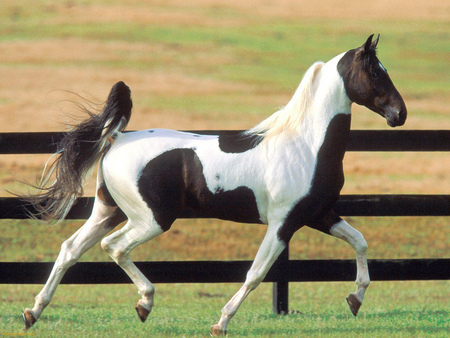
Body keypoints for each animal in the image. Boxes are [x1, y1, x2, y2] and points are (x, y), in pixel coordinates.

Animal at [22, 35, 408, 336]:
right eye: (376, 71)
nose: (399, 114)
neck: (306, 145)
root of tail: (117, 138)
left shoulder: (319, 214)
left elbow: (360, 241)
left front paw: (355, 300)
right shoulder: (283, 223)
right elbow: (256, 273)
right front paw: (220, 323)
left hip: (109, 211)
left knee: (70, 249)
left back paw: (33, 313)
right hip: (151, 219)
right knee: (113, 247)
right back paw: (144, 303)